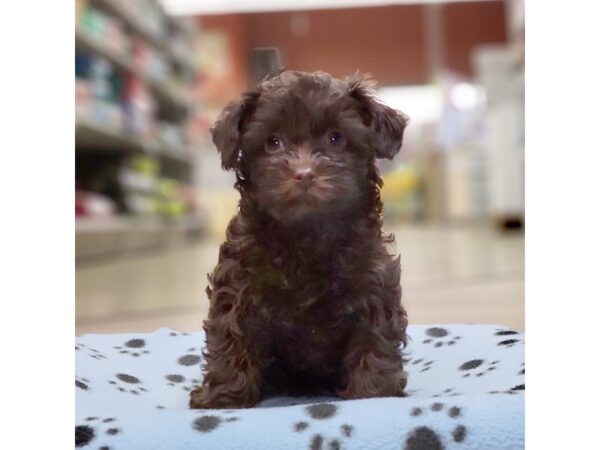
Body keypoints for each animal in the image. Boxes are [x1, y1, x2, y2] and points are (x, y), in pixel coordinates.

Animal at [190, 69, 410, 408]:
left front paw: (374, 394)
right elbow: (231, 338)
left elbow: (375, 340)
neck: (307, 233)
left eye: (336, 139)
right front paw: (222, 399)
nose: (304, 173)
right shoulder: (237, 287)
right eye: (273, 142)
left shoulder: (374, 286)